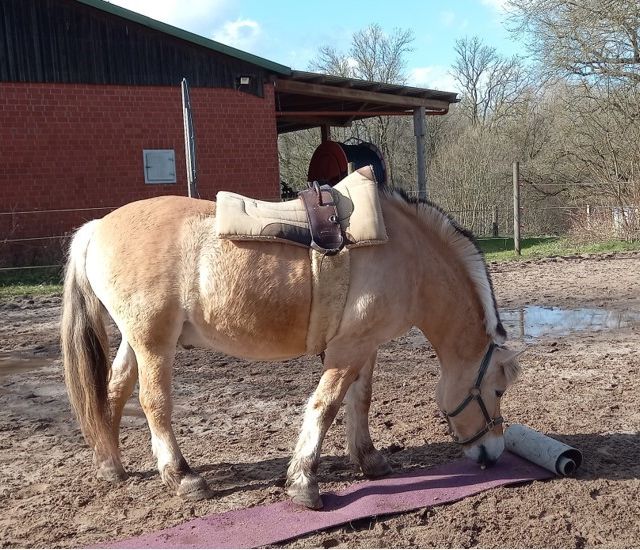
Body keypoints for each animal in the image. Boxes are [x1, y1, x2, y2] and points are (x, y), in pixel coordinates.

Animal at [58, 167, 520, 508]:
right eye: (497, 390)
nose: (494, 453)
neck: (406, 254)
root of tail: (98, 227)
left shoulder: (365, 345)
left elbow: (360, 400)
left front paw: (368, 459)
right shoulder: (347, 349)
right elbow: (325, 405)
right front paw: (303, 482)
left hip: (135, 341)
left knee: (114, 390)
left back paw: (111, 465)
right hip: (154, 342)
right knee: (154, 403)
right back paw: (183, 477)